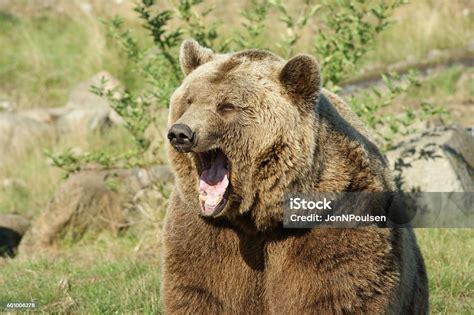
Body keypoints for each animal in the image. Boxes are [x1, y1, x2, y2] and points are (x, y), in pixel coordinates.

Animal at [160, 40, 430, 315]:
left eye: (227, 106)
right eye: (189, 101)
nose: (181, 133)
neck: (261, 218)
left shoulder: (334, 212)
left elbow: (338, 290)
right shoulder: (205, 229)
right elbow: (201, 291)